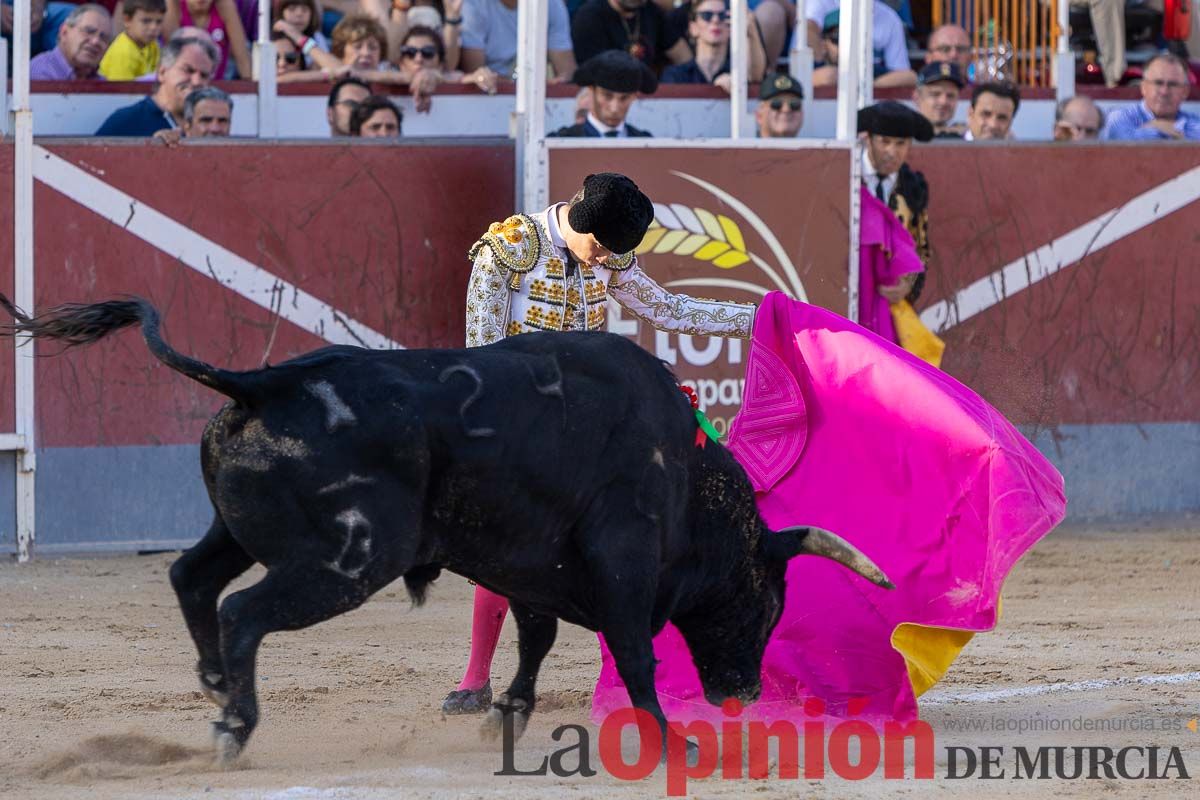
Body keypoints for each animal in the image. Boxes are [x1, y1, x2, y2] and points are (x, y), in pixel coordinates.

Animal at [2, 296, 892, 762]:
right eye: (766, 599)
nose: (743, 692)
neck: (686, 475)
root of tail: (262, 382)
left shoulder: (535, 561)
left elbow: (535, 634)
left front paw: (512, 710)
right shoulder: (624, 556)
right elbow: (634, 649)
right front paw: (671, 741)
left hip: (243, 530)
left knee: (192, 577)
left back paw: (217, 685)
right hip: (349, 559)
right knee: (242, 611)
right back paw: (234, 723)